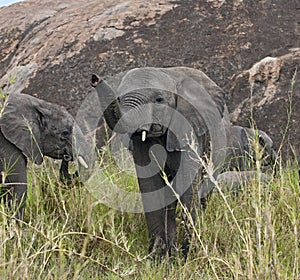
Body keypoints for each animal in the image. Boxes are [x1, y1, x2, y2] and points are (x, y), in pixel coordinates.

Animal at [91, 66, 230, 260]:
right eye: (118, 98)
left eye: (158, 100)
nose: (94, 78)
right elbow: (151, 186)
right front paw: (158, 259)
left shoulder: (189, 128)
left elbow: (187, 187)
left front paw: (188, 257)